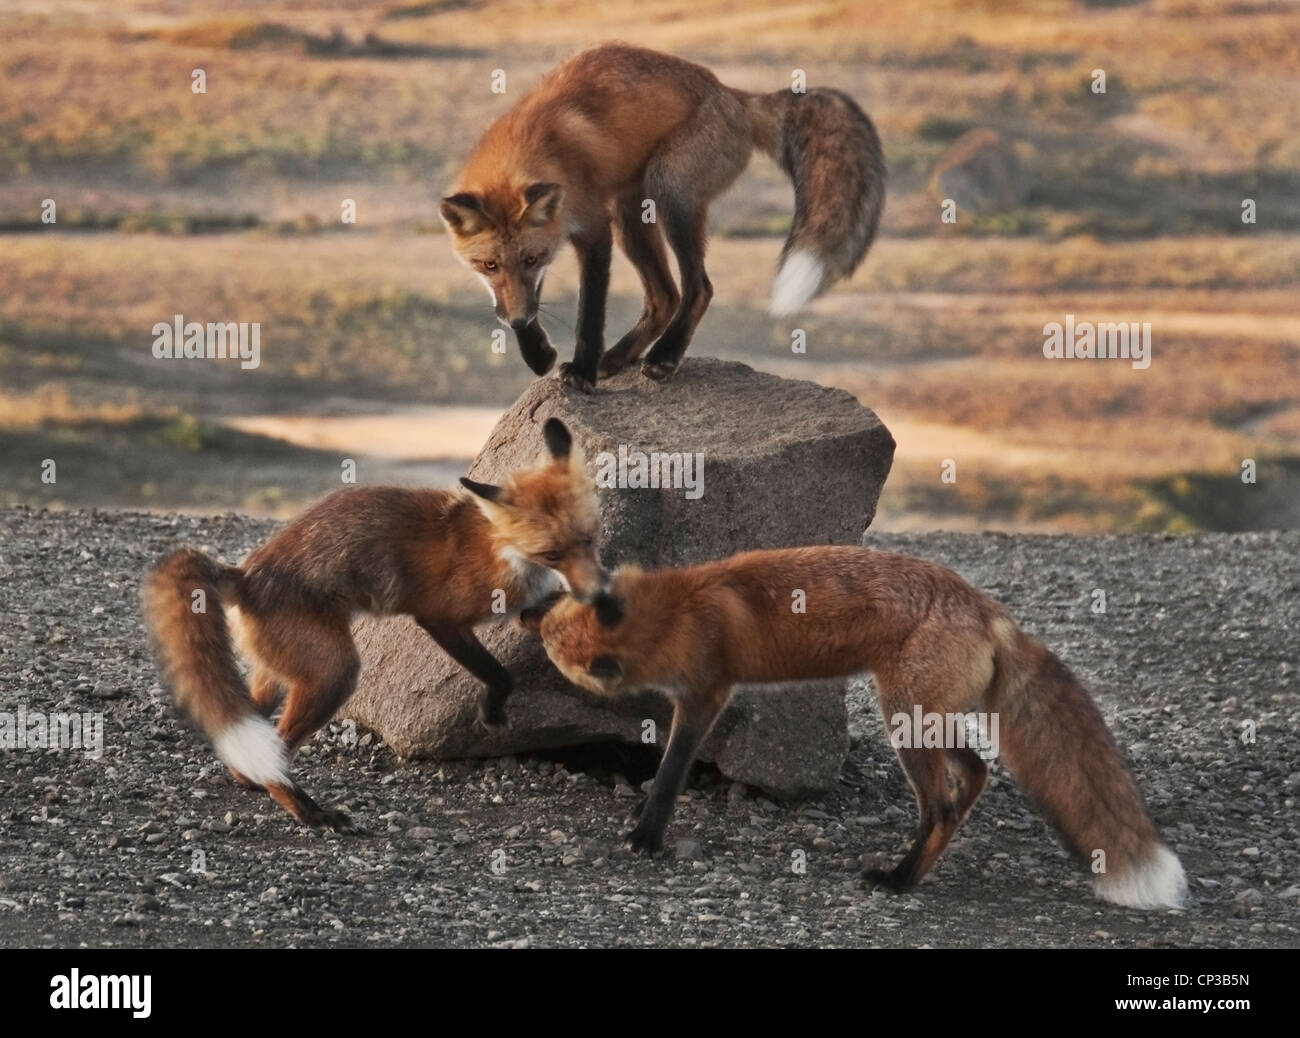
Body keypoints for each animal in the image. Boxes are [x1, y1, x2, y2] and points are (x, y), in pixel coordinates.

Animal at [142, 418, 608, 832]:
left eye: (590, 539)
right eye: (552, 553)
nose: (599, 591)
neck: (502, 550)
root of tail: (245, 573)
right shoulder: (441, 618)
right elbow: (499, 674)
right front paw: (492, 712)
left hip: (279, 674)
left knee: (250, 741)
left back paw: (253, 779)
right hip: (334, 673)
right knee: (278, 749)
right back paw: (308, 812)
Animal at [441, 41, 889, 395]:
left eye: (530, 259)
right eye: (489, 265)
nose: (516, 319)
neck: (530, 147)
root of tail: (734, 95)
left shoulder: (593, 229)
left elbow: (590, 314)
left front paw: (582, 372)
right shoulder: (557, 238)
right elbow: (531, 300)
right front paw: (538, 353)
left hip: (668, 191)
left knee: (698, 287)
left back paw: (663, 356)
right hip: (631, 216)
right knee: (664, 296)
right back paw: (618, 357)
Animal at [525, 543, 1190, 910]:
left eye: (552, 648)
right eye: (553, 624)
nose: (529, 615)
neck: (679, 608)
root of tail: (989, 609)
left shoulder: (706, 694)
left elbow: (669, 773)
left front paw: (647, 835)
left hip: (904, 720)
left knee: (941, 804)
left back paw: (900, 880)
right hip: (926, 718)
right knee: (976, 771)